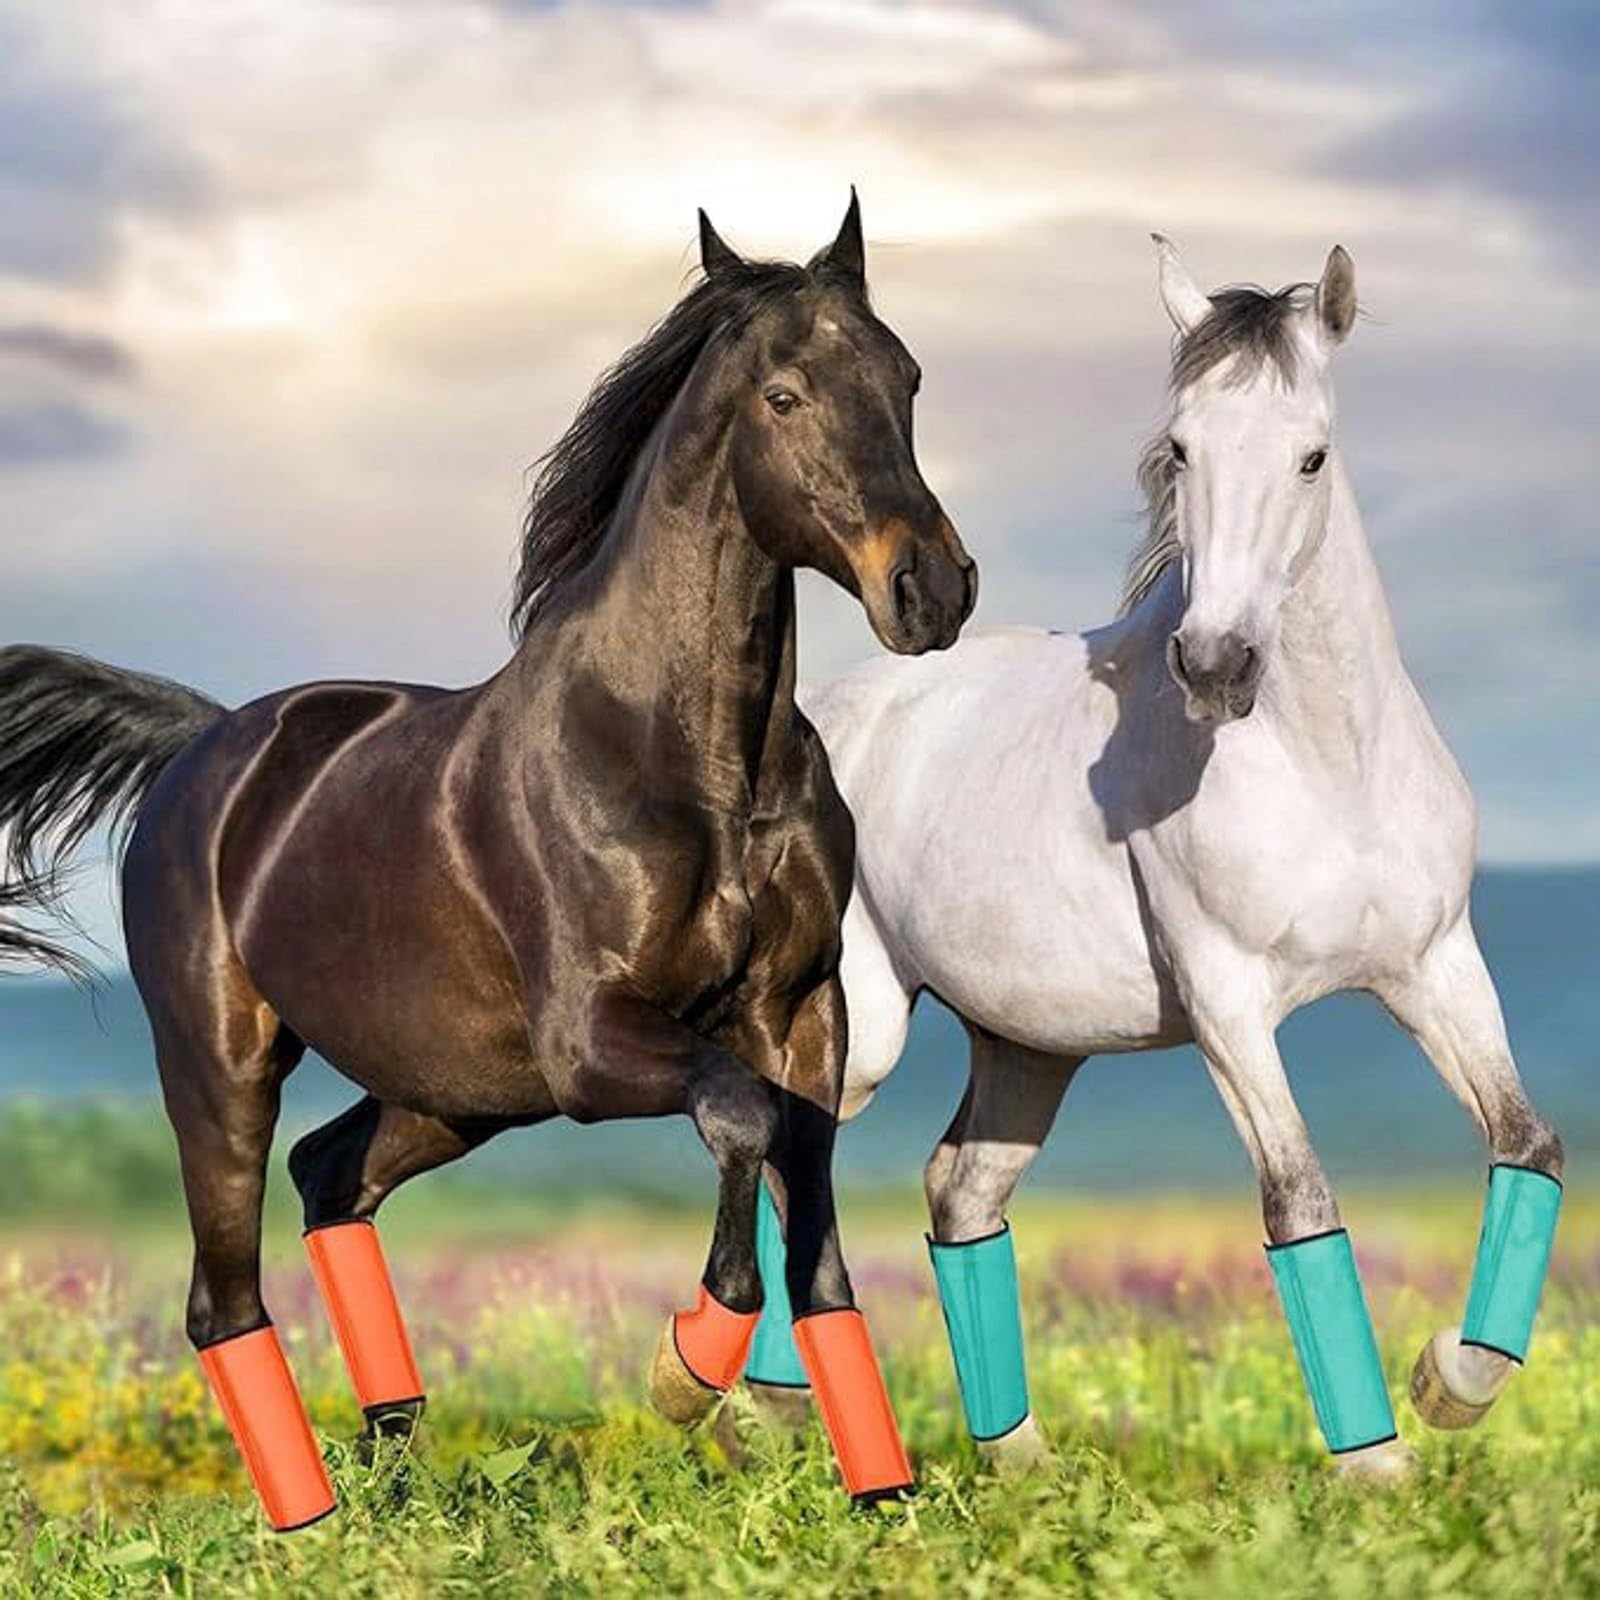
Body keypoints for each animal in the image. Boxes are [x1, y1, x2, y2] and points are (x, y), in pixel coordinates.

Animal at [0, 195, 977, 1527]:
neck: (692, 761)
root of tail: (203, 745)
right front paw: (685, 1369)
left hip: (454, 1091)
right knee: (223, 1293)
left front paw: (884, 1499)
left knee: (331, 1176)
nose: (933, 589)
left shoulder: (797, 1015)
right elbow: (737, 1121)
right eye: (783, 394)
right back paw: (311, 1522)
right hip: (224, 1062)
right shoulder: (592, 1040)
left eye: (908, 377)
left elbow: (811, 1220)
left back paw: (392, 1472)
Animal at [741, 238, 1563, 1479]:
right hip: (866, 1025)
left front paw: (1450, 1381)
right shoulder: (1228, 1003)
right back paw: (735, 1400)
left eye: (1312, 454)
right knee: (792, 1156)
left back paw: (1014, 1459)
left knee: (957, 1190)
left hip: (1029, 1047)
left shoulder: (1433, 968)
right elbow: (1298, 1197)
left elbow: (1529, 1144)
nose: (1215, 663)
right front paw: (1377, 1463)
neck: (1326, 767)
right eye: (1180, 447)